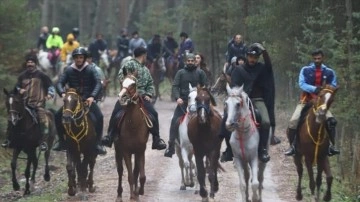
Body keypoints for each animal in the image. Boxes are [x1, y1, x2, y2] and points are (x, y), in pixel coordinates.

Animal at [114, 74, 150, 202]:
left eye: (133, 84)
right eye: (121, 82)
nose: (122, 97)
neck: (133, 126)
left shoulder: (141, 150)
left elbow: (141, 175)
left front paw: (139, 192)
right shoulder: (126, 151)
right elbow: (129, 176)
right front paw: (132, 195)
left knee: (135, 172)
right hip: (118, 150)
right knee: (120, 171)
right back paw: (119, 195)